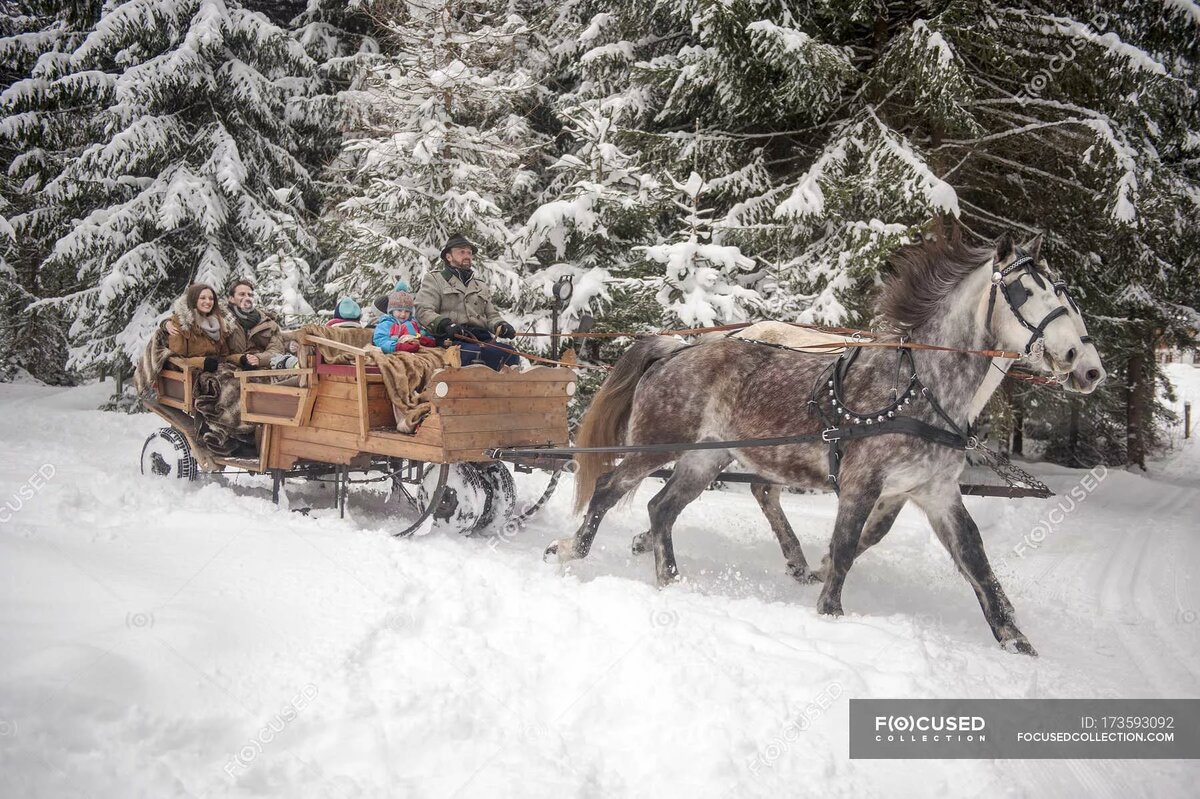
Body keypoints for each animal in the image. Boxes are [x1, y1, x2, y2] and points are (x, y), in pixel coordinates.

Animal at [545, 228, 1105, 656]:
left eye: (1063, 293)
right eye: (1025, 292)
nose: (1083, 362)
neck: (919, 386)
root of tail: (673, 349)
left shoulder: (935, 492)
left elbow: (975, 559)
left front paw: (1014, 638)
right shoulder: (862, 483)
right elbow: (845, 546)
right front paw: (830, 613)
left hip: (707, 461)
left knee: (662, 508)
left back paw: (670, 577)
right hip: (655, 447)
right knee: (610, 489)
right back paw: (574, 549)